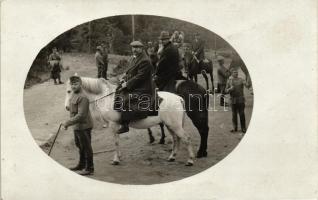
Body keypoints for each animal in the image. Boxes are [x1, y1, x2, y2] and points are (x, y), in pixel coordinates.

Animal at [64, 76, 194, 166]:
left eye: (69, 91)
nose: (67, 107)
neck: (107, 98)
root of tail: (179, 98)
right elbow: (117, 140)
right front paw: (119, 156)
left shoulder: (113, 125)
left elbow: (116, 142)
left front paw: (116, 160)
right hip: (170, 125)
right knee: (176, 139)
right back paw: (172, 157)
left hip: (175, 126)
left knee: (186, 138)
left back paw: (190, 160)